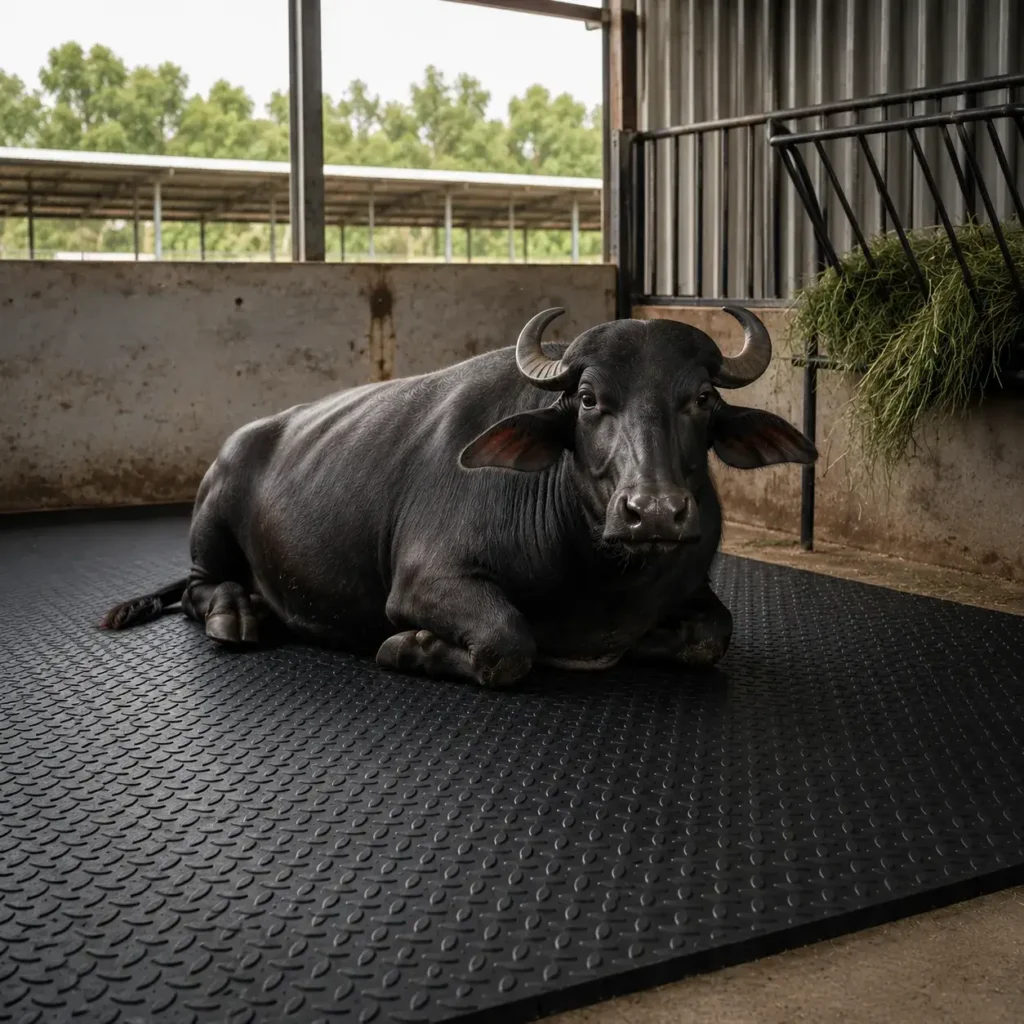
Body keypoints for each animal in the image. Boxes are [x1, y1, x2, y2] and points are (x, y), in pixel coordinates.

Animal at [103, 307, 816, 687]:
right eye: (588, 399)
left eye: (703, 397)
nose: (655, 511)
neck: (600, 575)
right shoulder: (425, 581)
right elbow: (507, 641)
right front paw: (408, 647)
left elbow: (712, 635)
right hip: (211, 520)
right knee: (200, 587)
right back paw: (238, 613)